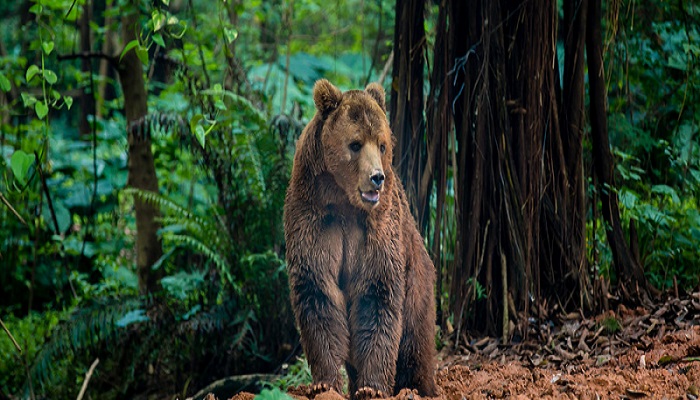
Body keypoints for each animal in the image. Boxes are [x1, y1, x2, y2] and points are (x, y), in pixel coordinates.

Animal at [284, 79, 438, 398]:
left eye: (382, 144)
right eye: (355, 144)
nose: (377, 177)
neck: (343, 200)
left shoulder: (378, 226)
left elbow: (377, 293)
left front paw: (372, 388)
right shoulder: (313, 216)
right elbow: (318, 290)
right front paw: (324, 382)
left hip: (418, 284)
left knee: (415, 343)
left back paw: (417, 386)